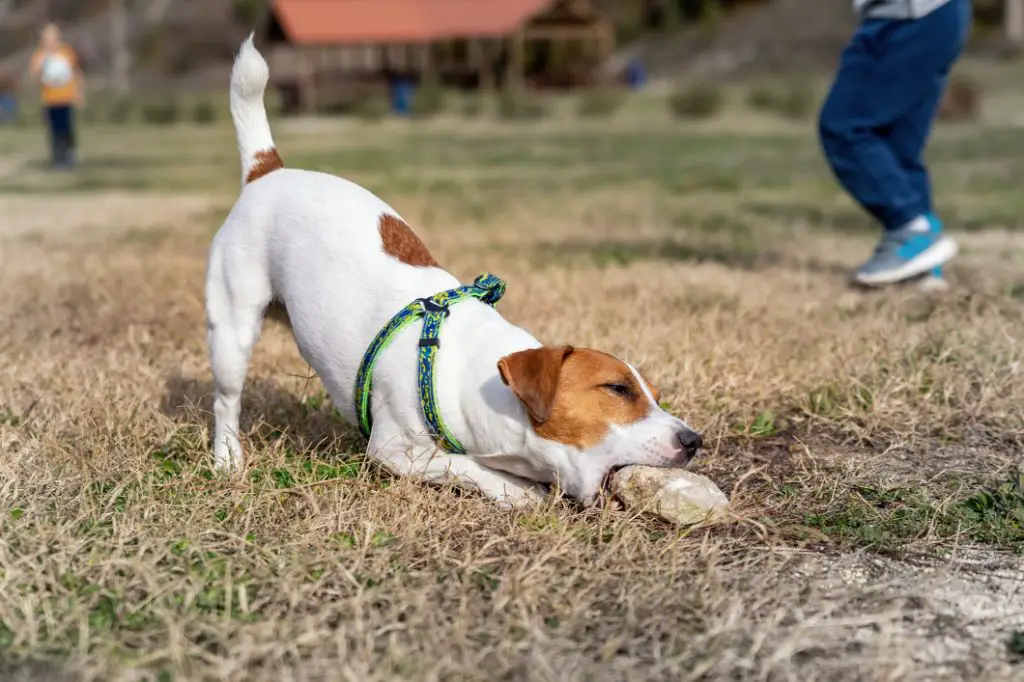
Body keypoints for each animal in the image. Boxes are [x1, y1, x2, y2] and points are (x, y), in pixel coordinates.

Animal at [207, 35, 704, 503]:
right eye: (618, 389)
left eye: (655, 395)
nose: (694, 439)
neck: (476, 377)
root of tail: (268, 170)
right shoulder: (394, 449)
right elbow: (463, 465)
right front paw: (516, 490)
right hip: (233, 329)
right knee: (227, 400)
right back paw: (227, 458)